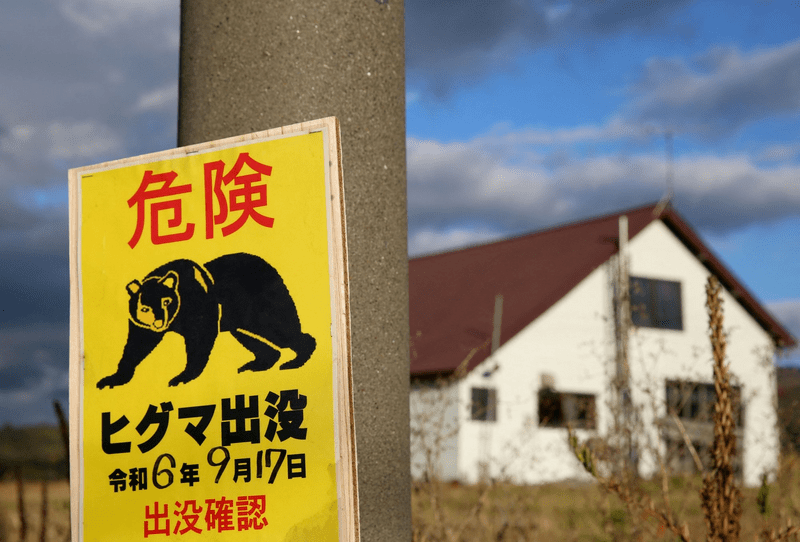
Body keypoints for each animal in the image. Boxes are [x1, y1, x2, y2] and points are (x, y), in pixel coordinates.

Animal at [96, 252, 316, 389]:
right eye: (144, 308)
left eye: (167, 301)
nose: (159, 323)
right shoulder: (142, 324)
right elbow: (137, 344)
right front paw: (112, 379)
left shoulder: (199, 302)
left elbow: (200, 336)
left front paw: (181, 377)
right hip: (239, 318)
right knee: (251, 337)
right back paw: (257, 364)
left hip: (260, 305)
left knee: (279, 329)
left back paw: (296, 359)